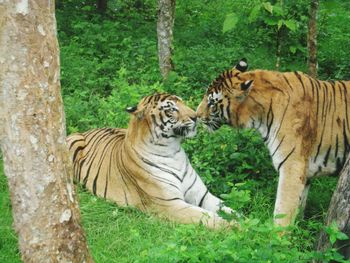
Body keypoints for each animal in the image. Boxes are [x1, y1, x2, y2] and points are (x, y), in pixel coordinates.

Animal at [66, 94, 234, 230]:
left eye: (182, 102)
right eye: (171, 109)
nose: (196, 116)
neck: (173, 151)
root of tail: (87, 131)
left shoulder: (203, 196)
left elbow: (229, 209)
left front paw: (239, 220)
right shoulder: (170, 204)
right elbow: (209, 218)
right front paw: (236, 228)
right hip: (72, 141)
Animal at [197, 58, 350, 228]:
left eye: (211, 103)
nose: (196, 115)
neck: (259, 115)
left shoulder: (292, 166)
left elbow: (283, 210)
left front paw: (276, 234)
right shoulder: (304, 172)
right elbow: (298, 208)